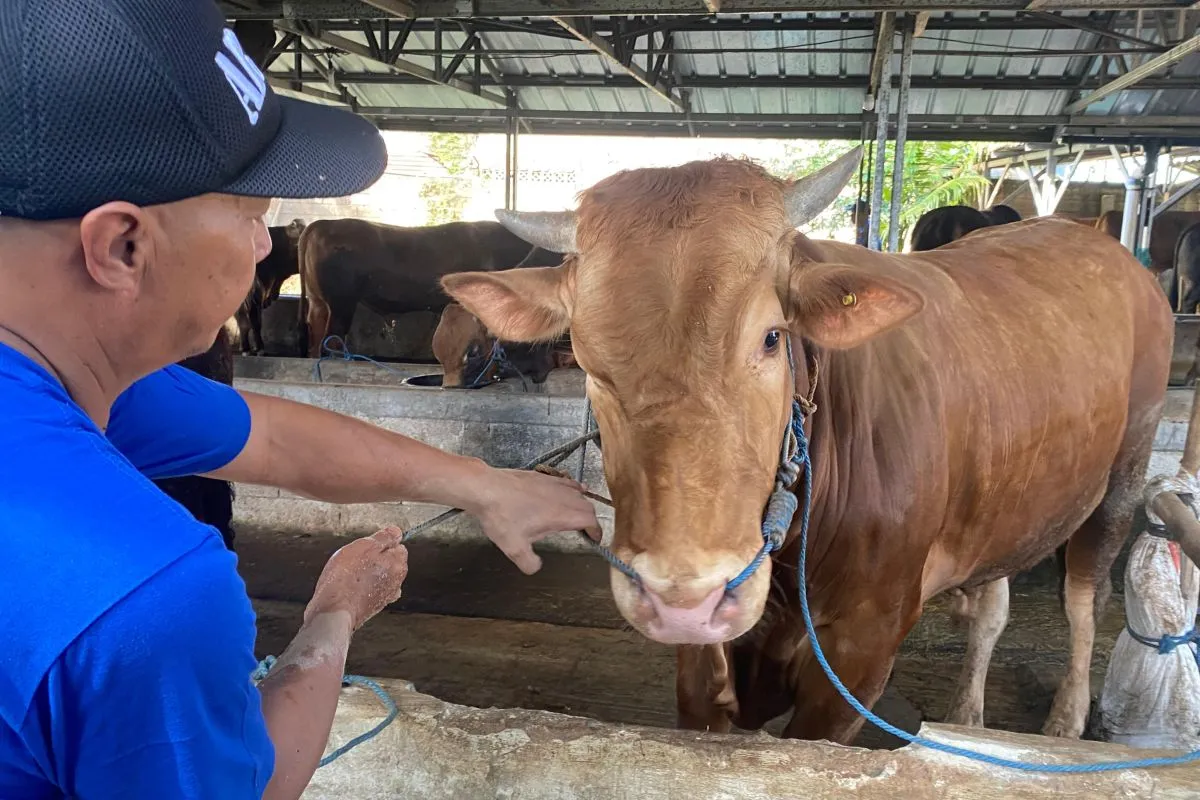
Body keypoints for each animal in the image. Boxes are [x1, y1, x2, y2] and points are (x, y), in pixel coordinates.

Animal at [441, 150, 1173, 746]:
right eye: (589, 361)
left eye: (772, 338)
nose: (686, 601)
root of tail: (1090, 237)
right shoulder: (703, 665)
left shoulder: (859, 655)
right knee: (993, 604)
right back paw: (968, 714)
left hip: (1124, 472)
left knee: (1084, 596)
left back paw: (1066, 721)